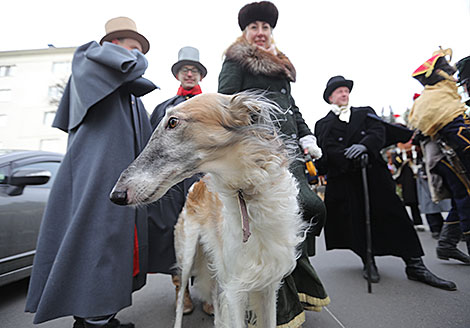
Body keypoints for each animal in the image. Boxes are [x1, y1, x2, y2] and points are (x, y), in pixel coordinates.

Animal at [111, 92, 308, 328]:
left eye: (173, 122)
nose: (116, 195)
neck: (248, 195)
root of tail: (196, 186)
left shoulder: (268, 284)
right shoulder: (236, 287)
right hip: (187, 255)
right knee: (180, 298)